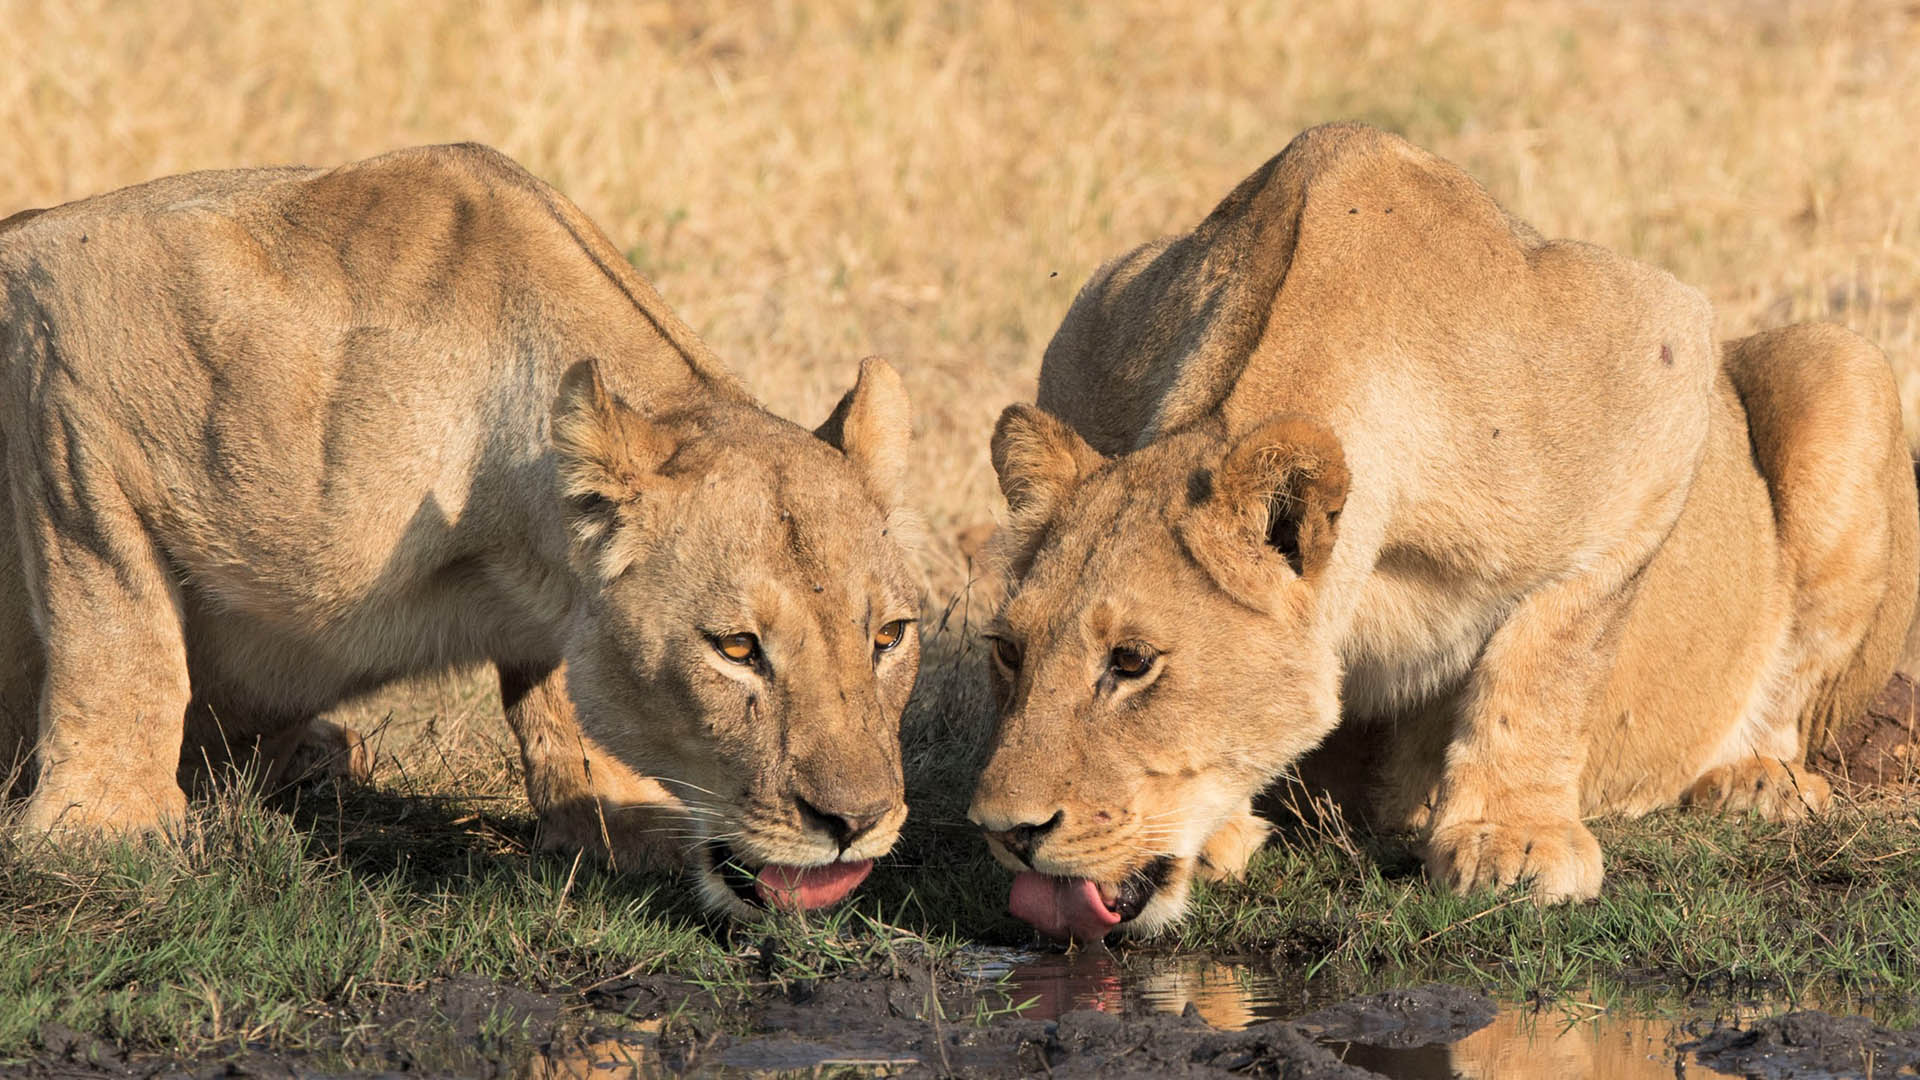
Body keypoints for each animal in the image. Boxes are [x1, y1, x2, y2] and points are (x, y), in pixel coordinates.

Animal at [0, 144, 923, 916]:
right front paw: (100, 832)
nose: (856, 822)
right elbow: (117, 636)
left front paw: (621, 818)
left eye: (890, 637)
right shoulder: (72, 346)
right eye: (735, 649)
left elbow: (561, 695)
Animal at [967, 123, 1918, 940]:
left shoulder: (1660, 364)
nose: (1006, 830)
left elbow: (1549, 652)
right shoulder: (1086, 327)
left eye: (1131, 663)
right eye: (1008, 652)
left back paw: (1755, 781)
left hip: (1843, 367)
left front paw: (1514, 841)